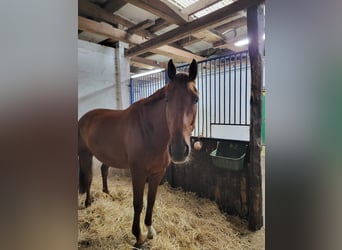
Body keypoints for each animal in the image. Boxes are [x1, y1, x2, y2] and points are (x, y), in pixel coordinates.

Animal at [78, 59, 198, 248]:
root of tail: (84, 117)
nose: (179, 150)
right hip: (85, 154)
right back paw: (88, 202)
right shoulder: (138, 172)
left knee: (104, 170)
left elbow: (151, 201)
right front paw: (138, 236)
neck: (149, 131)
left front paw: (150, 230)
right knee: (89, 177)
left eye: (196, 99)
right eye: (167, 98)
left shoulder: (157, 173)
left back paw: (107, 193)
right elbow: (138, 203)